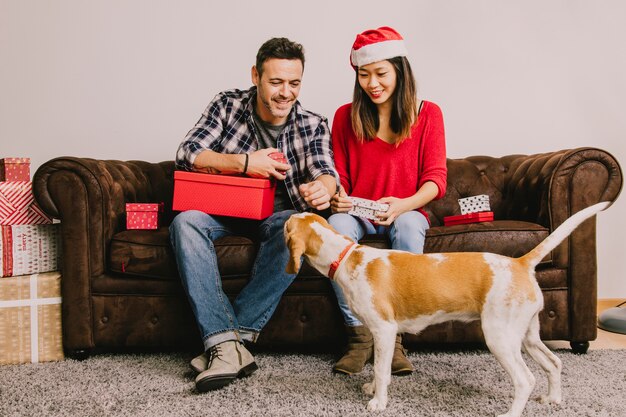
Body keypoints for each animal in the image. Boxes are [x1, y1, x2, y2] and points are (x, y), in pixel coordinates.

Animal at [284, 202, 608, 416]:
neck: (348, 256)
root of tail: (519, 263)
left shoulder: (384, 330)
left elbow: (380, 368)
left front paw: (378, 402)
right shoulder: (378, 333)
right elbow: (378, 368)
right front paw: (373, 389)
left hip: (499, 337)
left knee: (525, 380)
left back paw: (511, 413)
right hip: (527, 335)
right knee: (554, 363)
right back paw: (553, 399)